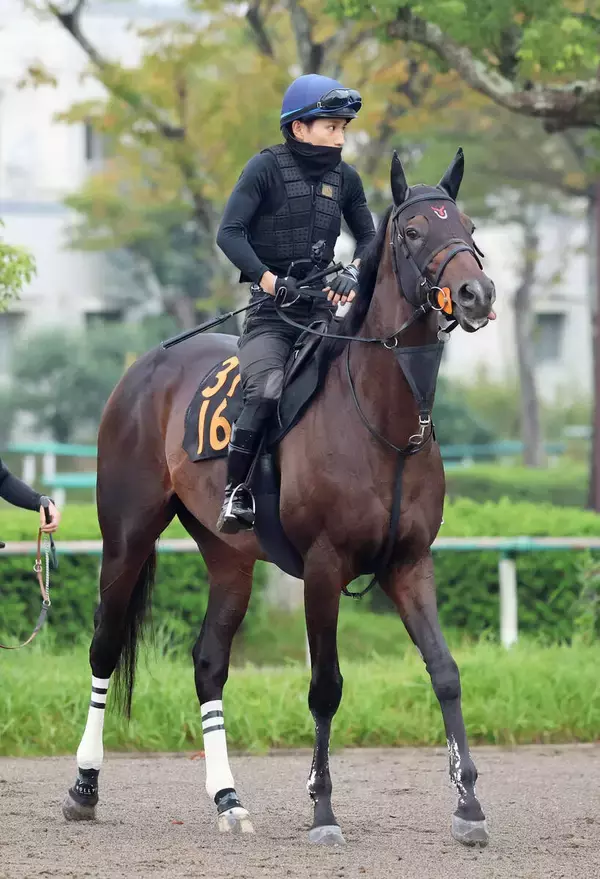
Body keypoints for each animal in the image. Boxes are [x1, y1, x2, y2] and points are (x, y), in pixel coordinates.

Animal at [62, 148, 496, 849]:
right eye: (411, 231)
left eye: (468, 224)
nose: (476, 293)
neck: (383, 421)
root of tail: (141, 369)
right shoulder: (323, 567)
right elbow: (325, 687)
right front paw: (322, 811)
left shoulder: (409, 564)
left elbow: (445, 671)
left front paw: (469, 806)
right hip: (125, 535)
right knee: (104, 646)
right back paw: (83, 786)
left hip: (229, 558)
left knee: (209, 663)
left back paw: (228, 800)